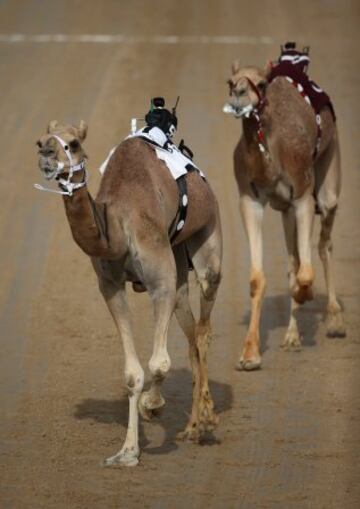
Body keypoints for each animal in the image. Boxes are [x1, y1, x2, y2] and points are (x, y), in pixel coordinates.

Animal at [35, 116, 222, 464]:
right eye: (39, 141)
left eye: (74, 143)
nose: (47, 154)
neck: (117, 228)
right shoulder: (110, 286)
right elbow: (133, 374)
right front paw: (127, 451)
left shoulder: (159, 281)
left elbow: (159, 363)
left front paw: (152, 405)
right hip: (177, 263)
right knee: (191, 331)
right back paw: (192, 425)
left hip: (208, 237)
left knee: (204, 326)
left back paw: (205, 419)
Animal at [225, 43, 346, 370]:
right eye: (230, 82)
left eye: (262, 82)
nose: (239, 94)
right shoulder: (249, 199)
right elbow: (259, 278)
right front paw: (249, 354)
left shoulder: (303, 196)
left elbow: (306, 272)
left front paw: (305, 295)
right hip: (285, 210)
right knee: (294, 259)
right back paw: (292, 337)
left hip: (328, 174)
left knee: (325, 244)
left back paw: (335, 321)